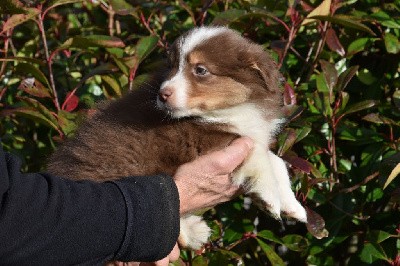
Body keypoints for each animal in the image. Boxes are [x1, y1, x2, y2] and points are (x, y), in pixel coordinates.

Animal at [48, 26, 308, 249]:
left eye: (200, 70)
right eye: (172, 66)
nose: (163, 94)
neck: (229, 110)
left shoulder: (249, 131)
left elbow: (276, 160)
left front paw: (293, 206)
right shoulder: (199, 140)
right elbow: (259, 155)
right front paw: (269, 197)